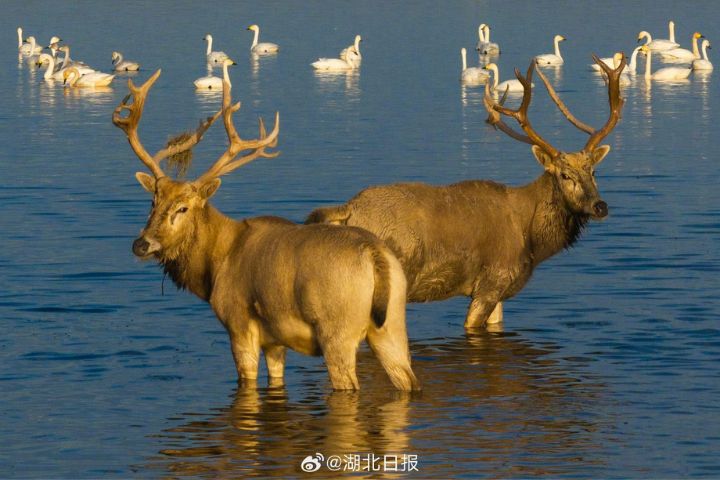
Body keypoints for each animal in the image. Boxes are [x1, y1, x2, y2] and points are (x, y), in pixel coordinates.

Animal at [115, 67, 420, 391]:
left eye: (183, 208)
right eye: (153, 202)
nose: (141, 244)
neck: (216, 264)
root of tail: (375, 255)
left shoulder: (239, 323)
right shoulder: (276, 340)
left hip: (338, 329)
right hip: (392, 322)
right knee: (408, 379)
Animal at [306, 54, 625, 331]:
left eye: (593, 172)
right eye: (564, 175)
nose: (600, 206)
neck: (532, 239)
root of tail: (348, 209)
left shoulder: (500, 291)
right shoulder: (493, 279)